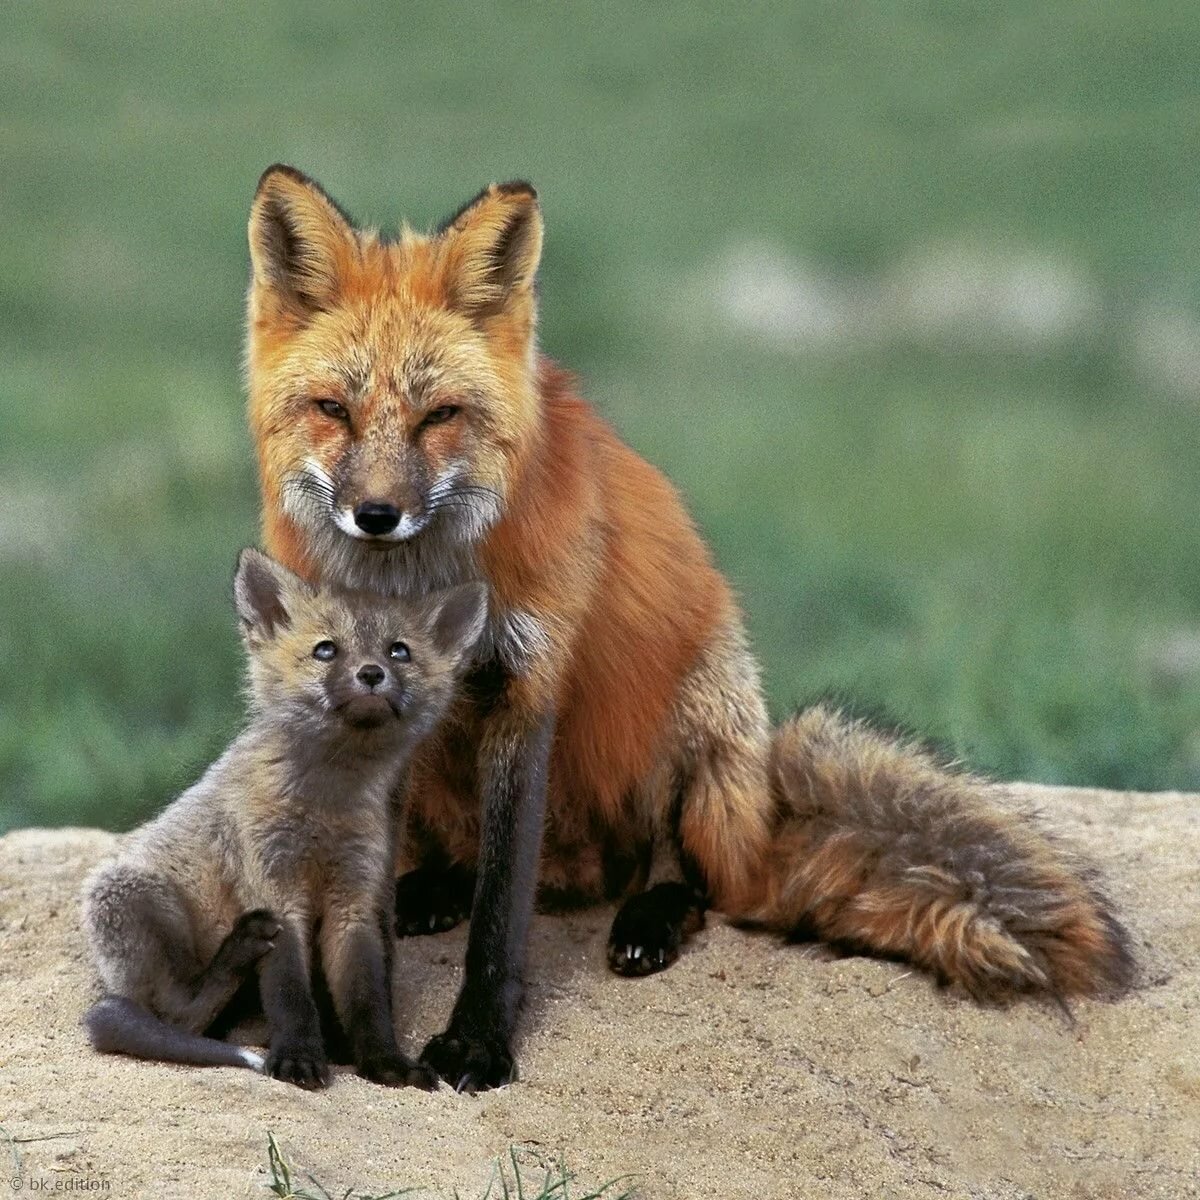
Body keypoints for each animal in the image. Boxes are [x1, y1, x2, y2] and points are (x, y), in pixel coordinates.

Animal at [81, 547, 487, 1089]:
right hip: (130, 900)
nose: (372, 673)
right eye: (326, 650)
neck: (326, 804)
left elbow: (367, 1000)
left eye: (399, 651)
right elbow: (290, 994)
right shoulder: (274, 886)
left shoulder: (357, 897)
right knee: (179, 1014)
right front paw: (297, 1057)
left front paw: (384, 1062)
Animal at [243, 165, 1134, 1090]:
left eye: (439, 416)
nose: (376, 515)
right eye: (334, 410)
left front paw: (479, 1042)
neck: (417, 582)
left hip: (695, 713)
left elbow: (501, 914)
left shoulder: (529, 684)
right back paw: (436, 887)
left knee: (699, 880)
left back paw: (652, 916)